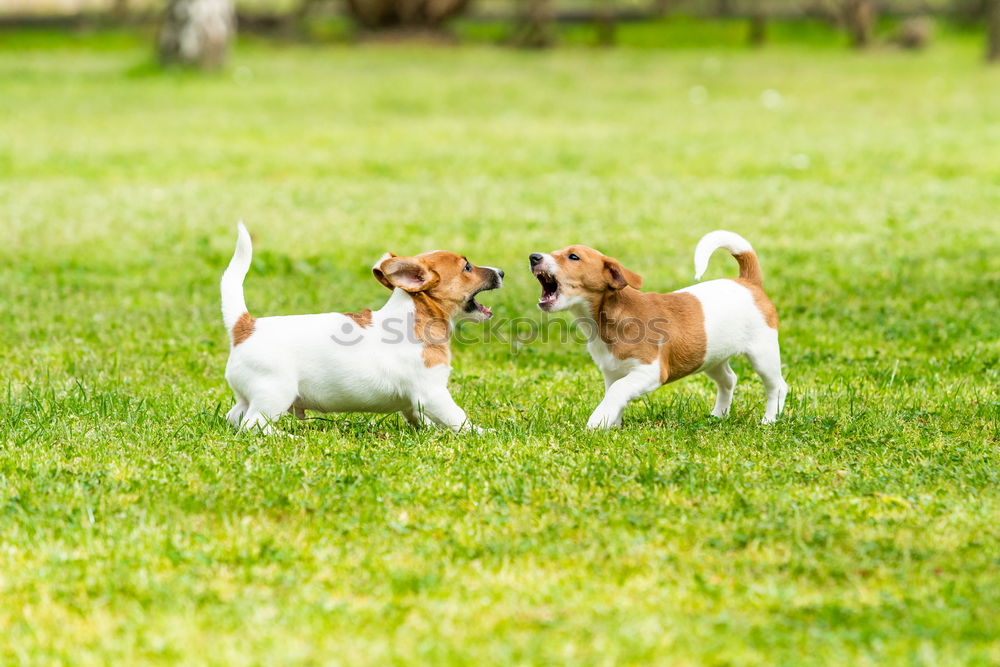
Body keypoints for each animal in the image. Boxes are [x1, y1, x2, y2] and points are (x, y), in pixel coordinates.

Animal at [219, 223, 500, 434]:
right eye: (467, 267)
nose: (502, 272)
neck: (417, 317)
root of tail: (245, 325)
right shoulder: (433, 393)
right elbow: (459, 419)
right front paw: (483, 433)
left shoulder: (417, 402)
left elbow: (423, 418)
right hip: (275, 393)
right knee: (253, 425)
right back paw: (287, 436)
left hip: (250, 396)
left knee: (235, 417)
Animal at [532, 230, 788, 428]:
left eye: (573, 257)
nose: (533, 257)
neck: (606, 320)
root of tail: (748, 282)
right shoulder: (612, 372)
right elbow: (613, 394)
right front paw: (612, 423)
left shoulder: (650, 371)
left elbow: (617, 391)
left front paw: (598, 420)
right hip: (710, 357)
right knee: (729, 380)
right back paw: (718, 416)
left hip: (762, 354)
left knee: (776, 386)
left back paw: (769, 419)